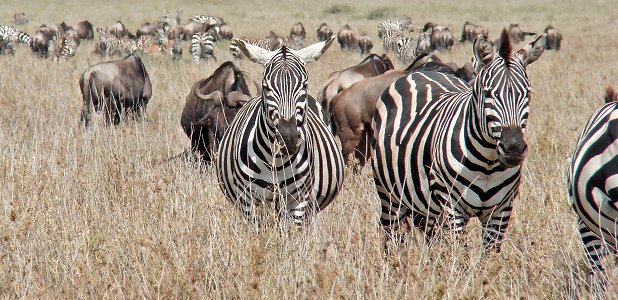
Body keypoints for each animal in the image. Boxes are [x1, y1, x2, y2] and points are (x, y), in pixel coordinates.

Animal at [217, 37, 344, 225]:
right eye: (266, 86)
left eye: (304, 85)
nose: (288, 138)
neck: (275, 162)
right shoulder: (248, 202)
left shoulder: (299, 201)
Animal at [368, 29, 540, 251]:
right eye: (487, 93)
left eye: (527, 93)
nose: (513, 149)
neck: (487, 164)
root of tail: (423, 72)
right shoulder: (452, 206)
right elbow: (460, 254)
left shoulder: (501, 210)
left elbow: (490, 256)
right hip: (389, 195)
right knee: (392, 234)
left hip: (428, 207)